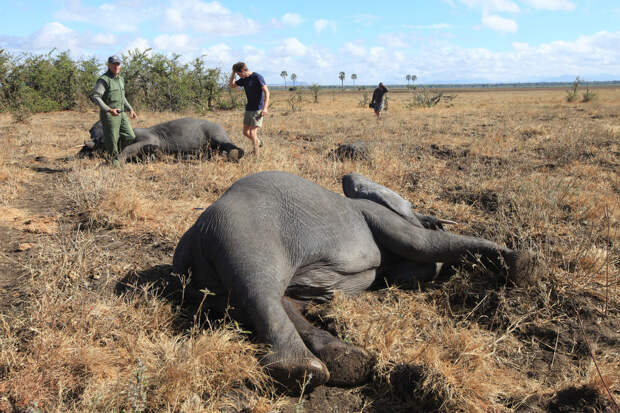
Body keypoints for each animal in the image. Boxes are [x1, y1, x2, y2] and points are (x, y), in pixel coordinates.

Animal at [81, 116, 245, 162]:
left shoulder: (148, 138)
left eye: (102, 139)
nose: (88, 144)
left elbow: (130, 148)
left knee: (234, 147)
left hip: (217, 135)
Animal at [172, 171, 532, 390]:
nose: (433, 219)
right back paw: (305, 370)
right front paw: (522, 262)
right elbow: (423, 245)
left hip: (212, 277)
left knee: (273, 300)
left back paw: (345, 361)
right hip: (242, 231)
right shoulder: (374, 215)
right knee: (260, 288)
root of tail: (195, 239)